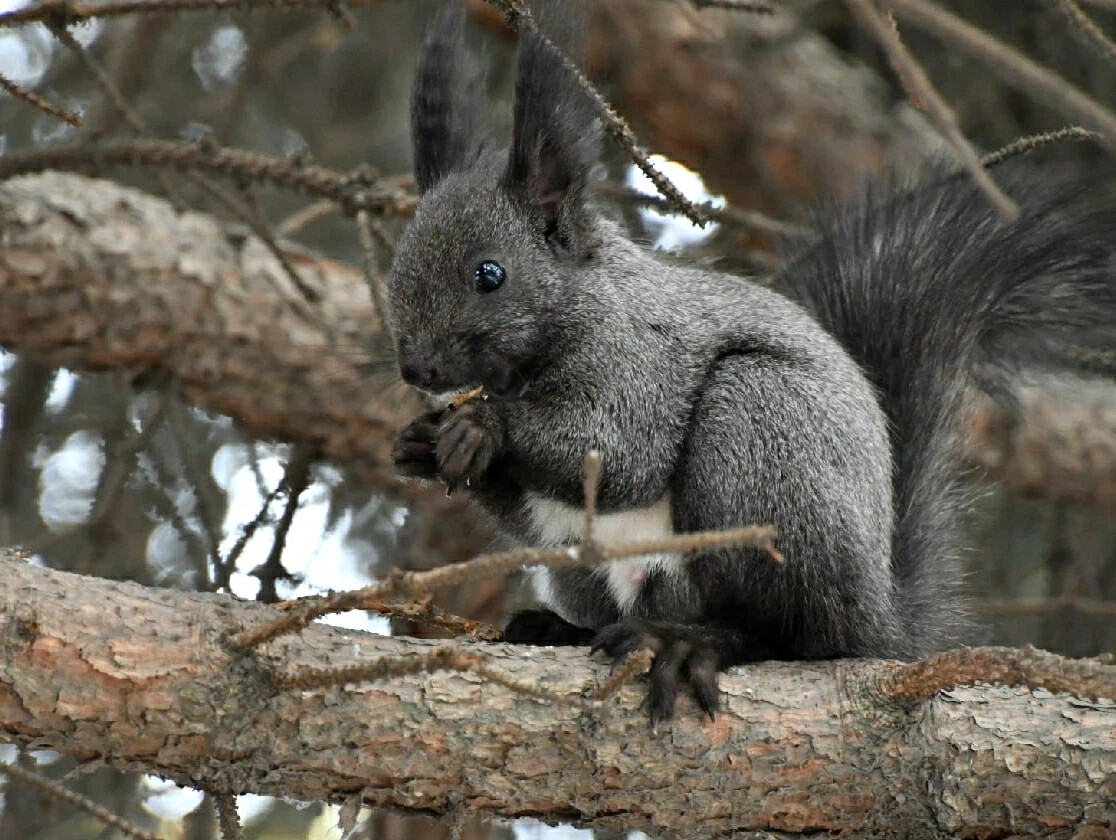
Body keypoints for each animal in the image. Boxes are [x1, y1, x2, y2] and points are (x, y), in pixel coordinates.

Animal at [388, 1, 1116, 722]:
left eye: (489, 274)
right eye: (397, 266)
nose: (416, 371)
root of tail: (882, 619)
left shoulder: (640, 356)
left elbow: (620, 451)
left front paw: (484, 426)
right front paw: (420, 444)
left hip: (761, 436)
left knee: (789, 634)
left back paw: (694, 643)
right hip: (586, 567)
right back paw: (559, 628)